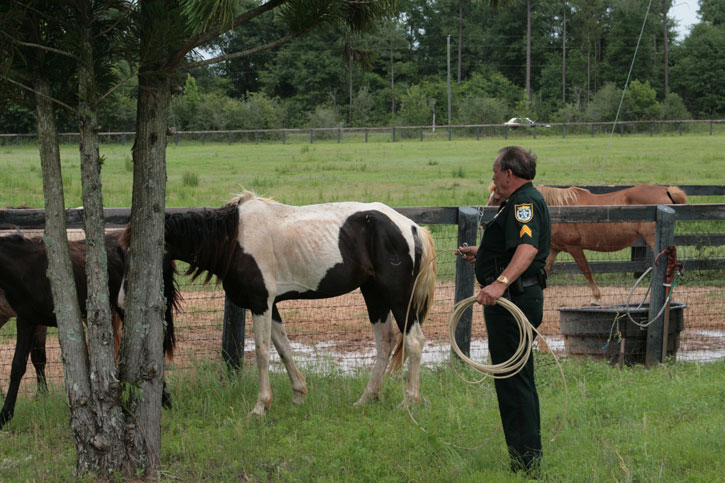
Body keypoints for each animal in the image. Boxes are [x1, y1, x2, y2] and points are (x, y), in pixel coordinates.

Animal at [121, 190, 437, 416]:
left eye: (141, 255)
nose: (123, 299)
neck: (233, 239)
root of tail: (410, 226)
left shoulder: (260, 303)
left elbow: (262, 352)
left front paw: (261, 406)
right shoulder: (271, 306)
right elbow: (283, 348)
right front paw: (299, 395)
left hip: (398, 296)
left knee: (414, 341)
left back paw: (409, 402)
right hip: (373, 295)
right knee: (385, 343)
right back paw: (366, 399)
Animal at [487, 183, 687, 304]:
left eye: (496, 198)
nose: (486, 222)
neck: (559, 210)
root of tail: (665, 189)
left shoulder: (575, 248)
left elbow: (586, 270)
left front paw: (596, 298)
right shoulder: (554, 249)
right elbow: (547, 270)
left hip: (653, 238)